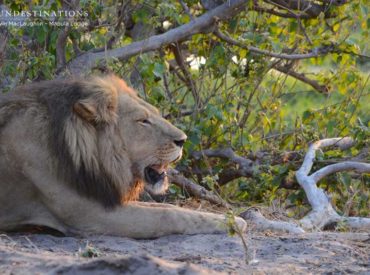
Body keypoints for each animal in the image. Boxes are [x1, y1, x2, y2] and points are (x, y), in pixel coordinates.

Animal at [0, 76, 246, 239]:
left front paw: (230, 218)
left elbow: (170, 207)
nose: (183, 140)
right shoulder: (90, 216)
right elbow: (168, 215)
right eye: (143, 121)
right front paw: (234, 223)